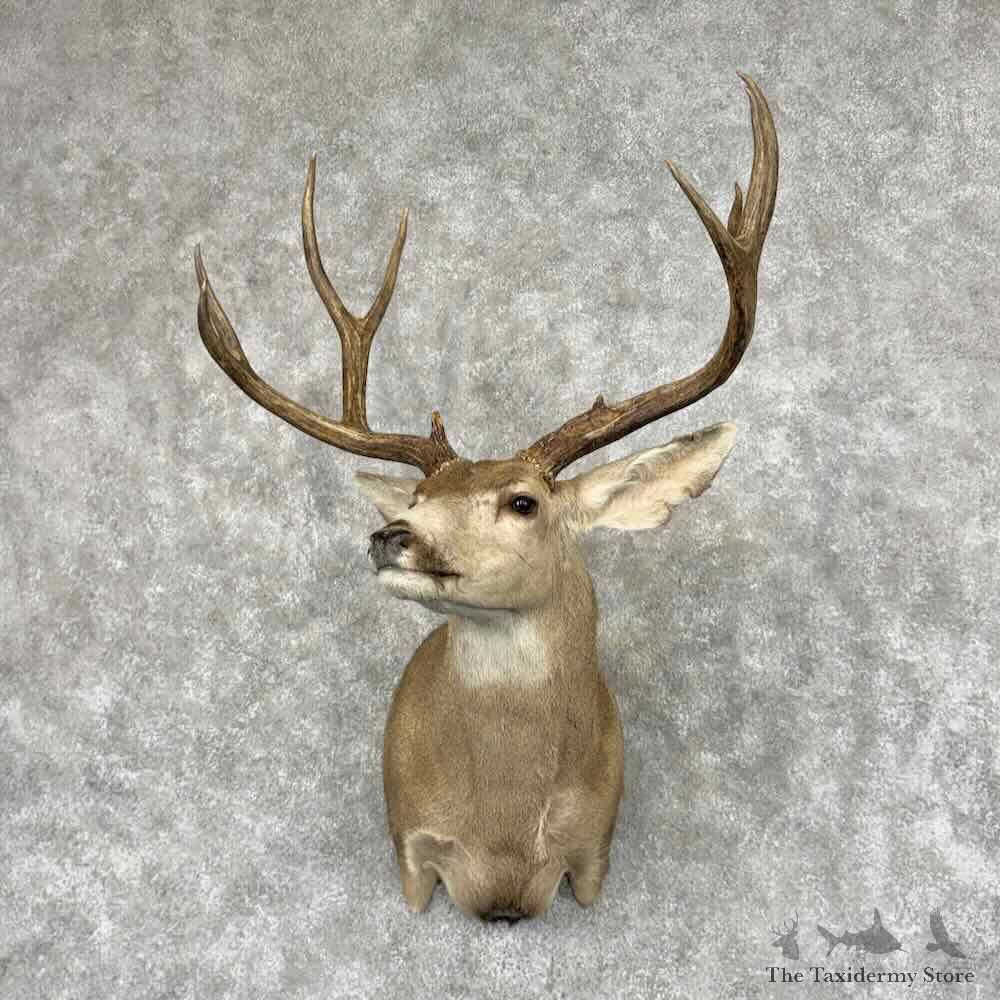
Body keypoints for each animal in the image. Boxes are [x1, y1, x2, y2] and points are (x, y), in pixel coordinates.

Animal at [193, 72, 778, 922]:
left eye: (523, 502)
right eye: (420, 491)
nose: (391, 534)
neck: (502, 836)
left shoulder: (594, 853)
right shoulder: (410, 850)